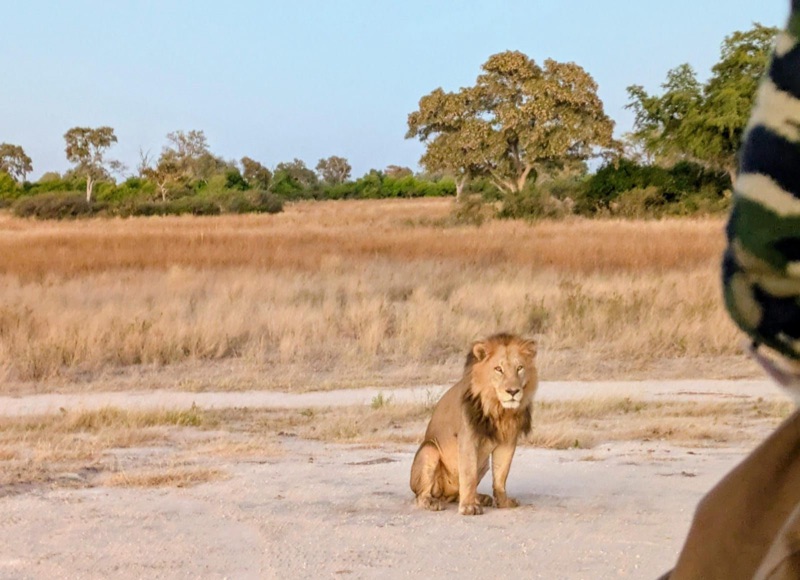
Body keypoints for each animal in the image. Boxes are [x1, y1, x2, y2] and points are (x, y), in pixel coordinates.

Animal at [410, 332, 538, 515]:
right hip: (429, 449)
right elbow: (469, 474)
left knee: (458, 493)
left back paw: (481, 498)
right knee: (421, 495)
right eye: (498, 369)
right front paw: (469, 507)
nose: (513, 391)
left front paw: (503, 502)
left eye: (520, 368)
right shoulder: (467, 438)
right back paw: (432, 502)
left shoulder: (508, 441)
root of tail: (446, 495)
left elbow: (501, 474)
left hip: (483, 465)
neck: (499, 409)